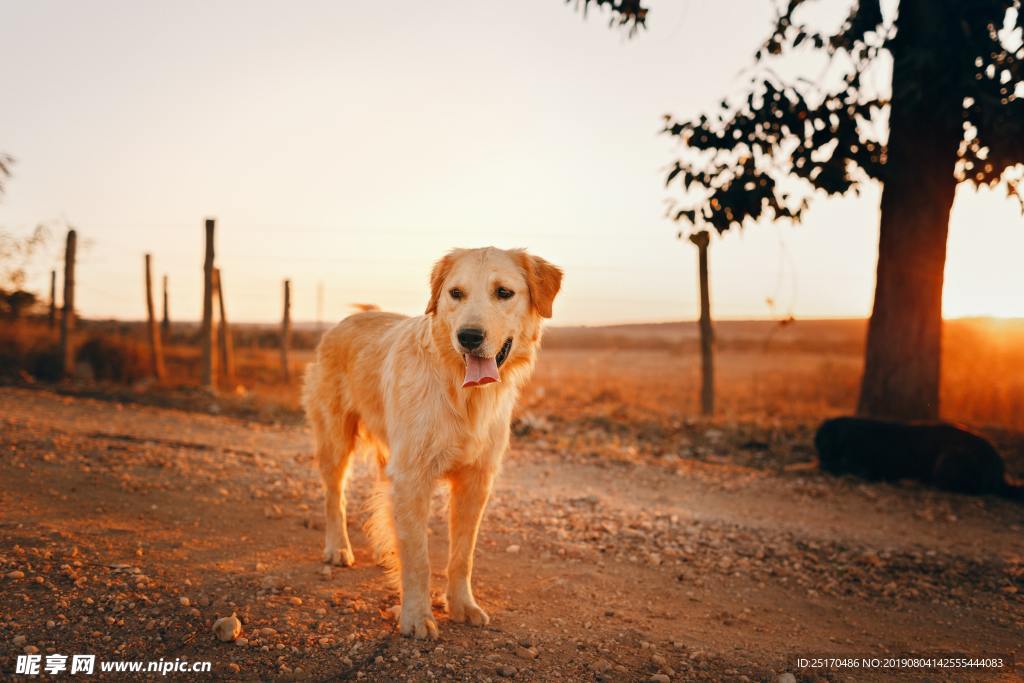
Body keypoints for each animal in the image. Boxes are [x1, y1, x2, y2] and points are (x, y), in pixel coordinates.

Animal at [299, 246, 565, 643]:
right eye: (455, 293)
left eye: (504, 292)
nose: (469, 336)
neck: (462, 393)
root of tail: (351, 317)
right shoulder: (413, 477)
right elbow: (419, 558)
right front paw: (416, 616)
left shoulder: (475, 482)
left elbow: (461, 555)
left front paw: (462, 606)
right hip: (335, 439)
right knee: (336, 497)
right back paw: (339, 548)